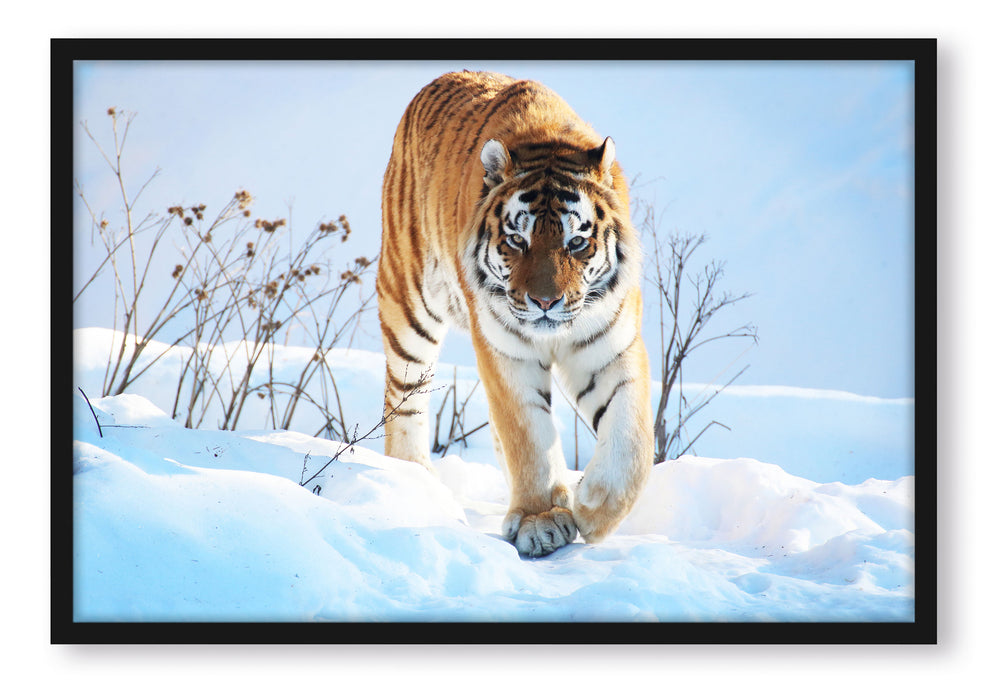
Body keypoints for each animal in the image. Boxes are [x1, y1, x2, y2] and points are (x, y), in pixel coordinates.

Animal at [376, 71, 654, 558]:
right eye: (516, 241)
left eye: (576, 243)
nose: (544, 302)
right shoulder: (506, 351)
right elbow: (527, 433)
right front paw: (541, 521)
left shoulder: (610, 346)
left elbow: (632, 438)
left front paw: (593, 507)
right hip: (408, 303)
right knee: (405, 397)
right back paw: (414, 480)